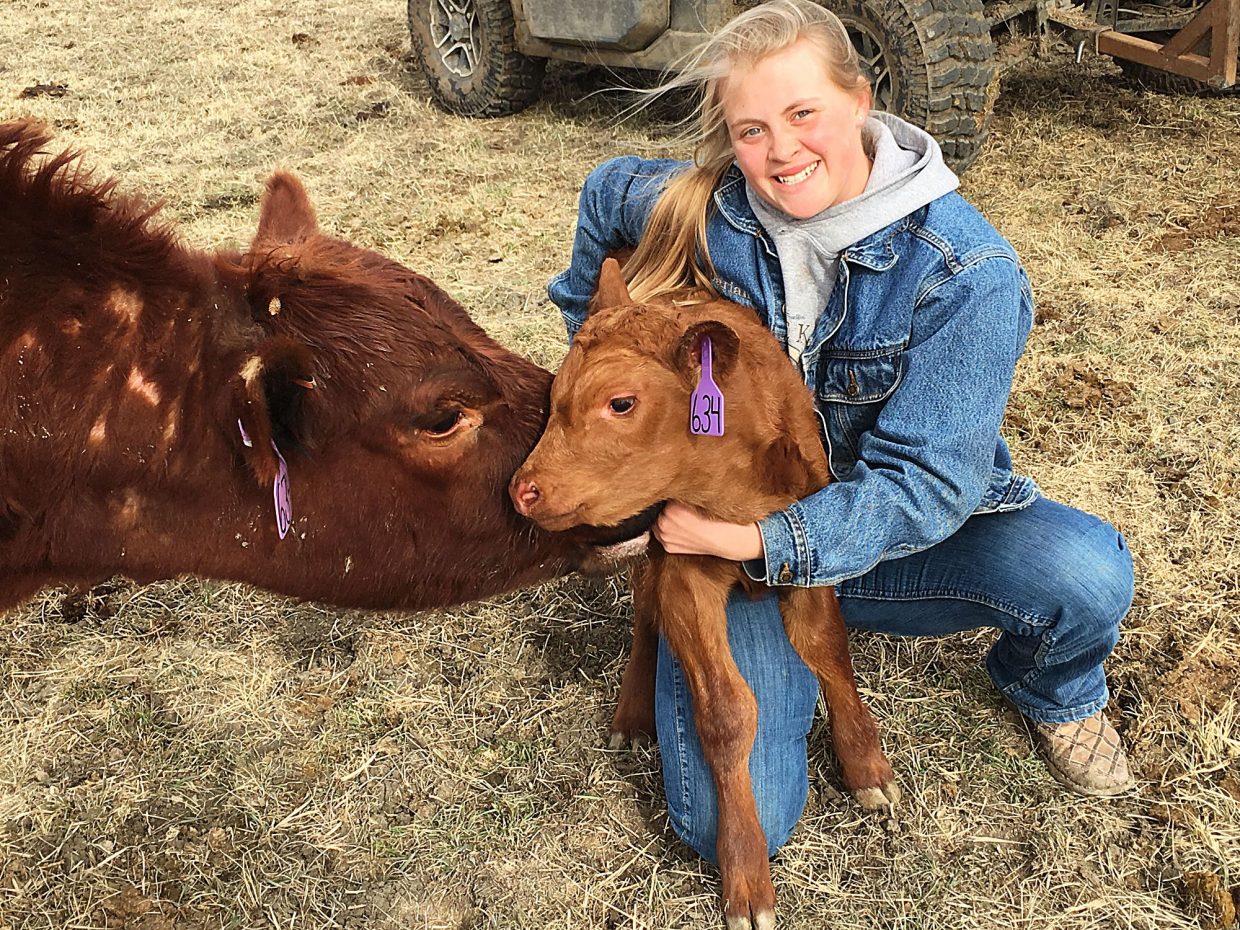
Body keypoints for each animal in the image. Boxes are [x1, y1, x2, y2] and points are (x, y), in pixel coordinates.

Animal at [510, 258, 900, 930]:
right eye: (555, 398)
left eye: (620, 403)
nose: (522, 489)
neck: (734, 491)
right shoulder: (683, 568)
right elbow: (725, 713)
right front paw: (746, 874)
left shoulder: (806, 542)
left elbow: (827, 647)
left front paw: (866, 764)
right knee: (646, 617)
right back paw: (632, 715)